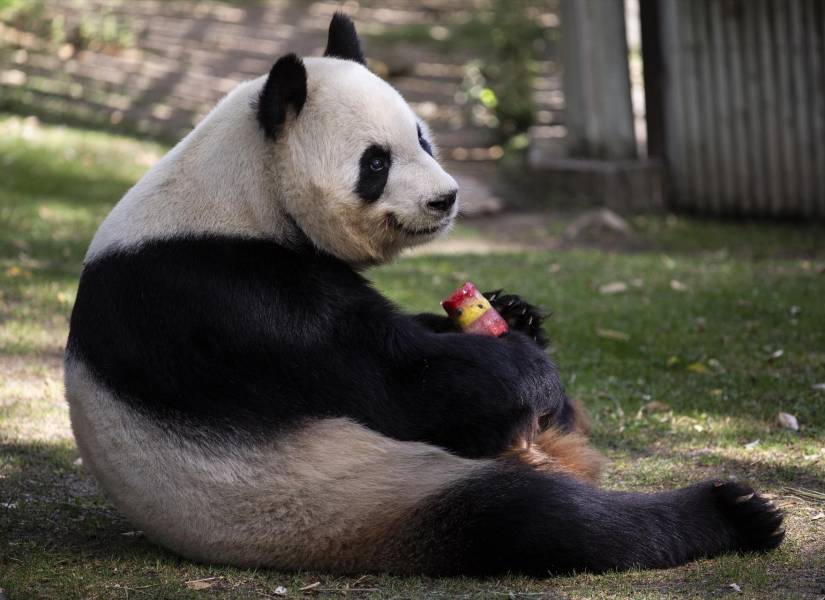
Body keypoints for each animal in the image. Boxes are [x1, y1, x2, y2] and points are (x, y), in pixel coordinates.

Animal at [65, 14, 784, 575]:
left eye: (422, 136)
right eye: (375, 162)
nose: (447, 198)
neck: (241, 192)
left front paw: (514, 314)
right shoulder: (226, 298)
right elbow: (396, 381)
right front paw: (529, 368)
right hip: (353, 495)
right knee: (535, 520)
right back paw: (734, 514)